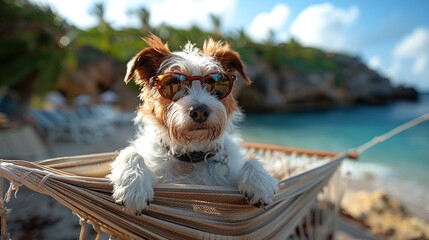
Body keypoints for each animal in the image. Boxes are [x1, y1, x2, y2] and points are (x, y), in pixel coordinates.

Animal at [107, 34, 278, 214]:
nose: (200, 111)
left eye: (215, 82)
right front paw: (133, 184)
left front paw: (260, 180)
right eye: (173, 83)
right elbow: (130, 152)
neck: (192, 155)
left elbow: (251, 159)